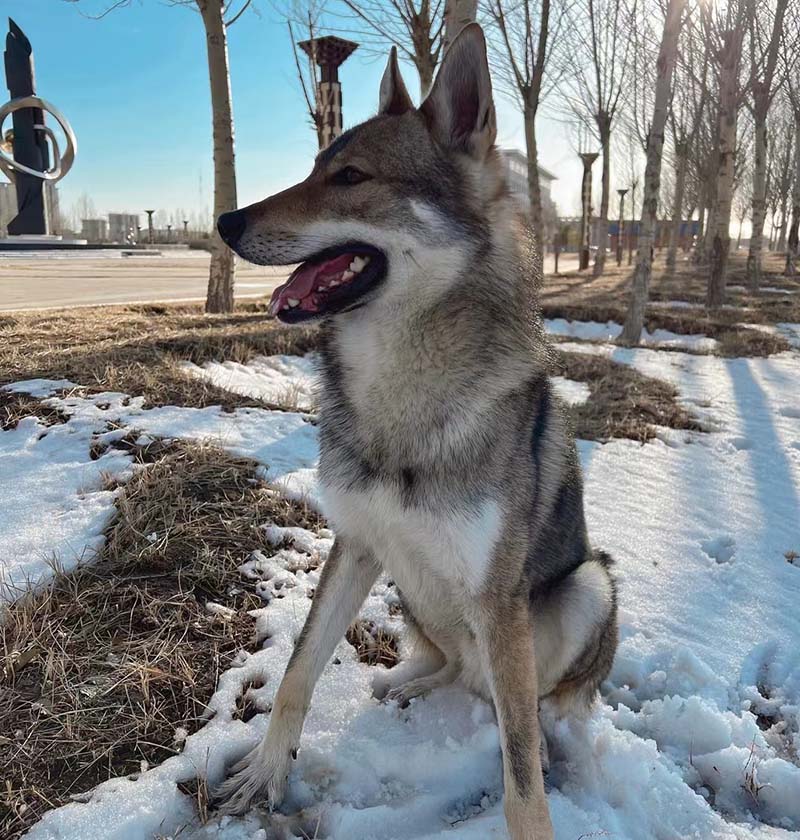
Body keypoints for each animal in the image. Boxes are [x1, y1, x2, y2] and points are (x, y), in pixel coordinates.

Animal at [214, 23, 620, 836]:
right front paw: (269, 774)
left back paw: (559, 742)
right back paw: (408, 685)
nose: (224, 222)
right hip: (410, 586)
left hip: (587, 586)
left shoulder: (498, 601)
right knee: (459, 672)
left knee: (540, 708)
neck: (398, 391)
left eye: (351, 177)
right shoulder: (356, 544)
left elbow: (521, 778)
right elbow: (297, 673)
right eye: (313, 168)